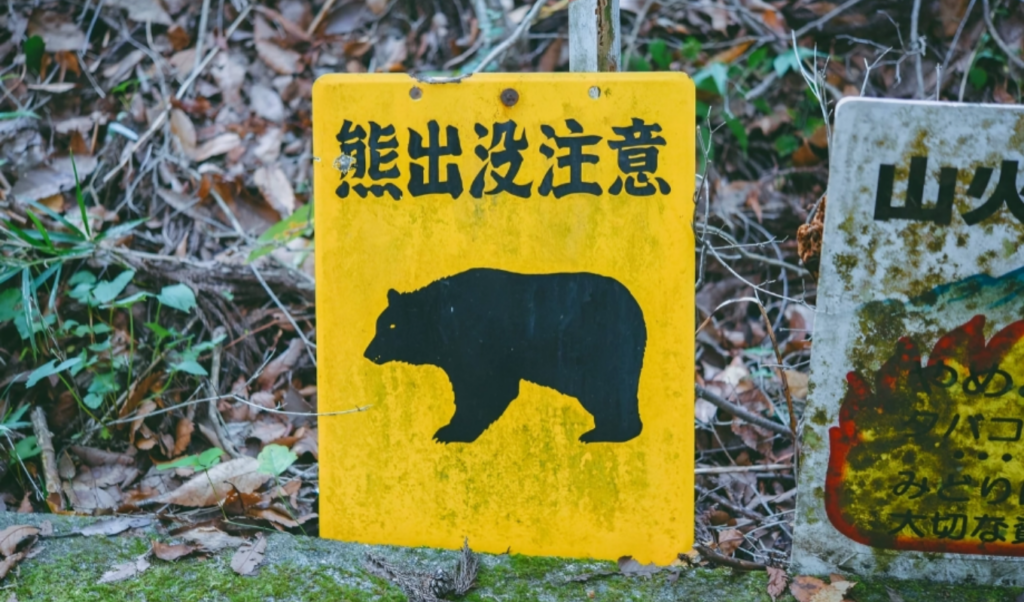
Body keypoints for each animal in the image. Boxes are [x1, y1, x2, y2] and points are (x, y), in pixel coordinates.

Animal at [363, 268, 647, 443]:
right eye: (379, 325)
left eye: (390, 326)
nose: (368, 353)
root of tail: (636, 309)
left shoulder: (477, 344)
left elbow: (485, 388)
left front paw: (451, 431)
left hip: (598, 350)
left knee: (607, 390)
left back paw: (606, 433)